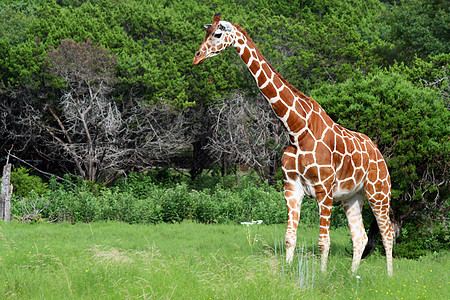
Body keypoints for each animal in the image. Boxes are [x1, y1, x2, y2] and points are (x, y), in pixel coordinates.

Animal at [193, 13, 394, 276]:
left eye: (217, 34)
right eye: (206, 33)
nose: (196, 57)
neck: (296, 130)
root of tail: (379, 154)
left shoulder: (324, 190)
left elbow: (323, 241)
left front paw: (321, 276)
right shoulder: (291, 187)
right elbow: (290, 238)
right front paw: (288, 272)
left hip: (379, 192)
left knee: (388, 234)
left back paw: (390, 277)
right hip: (353, 197)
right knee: (360, 237)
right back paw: (353, 275)